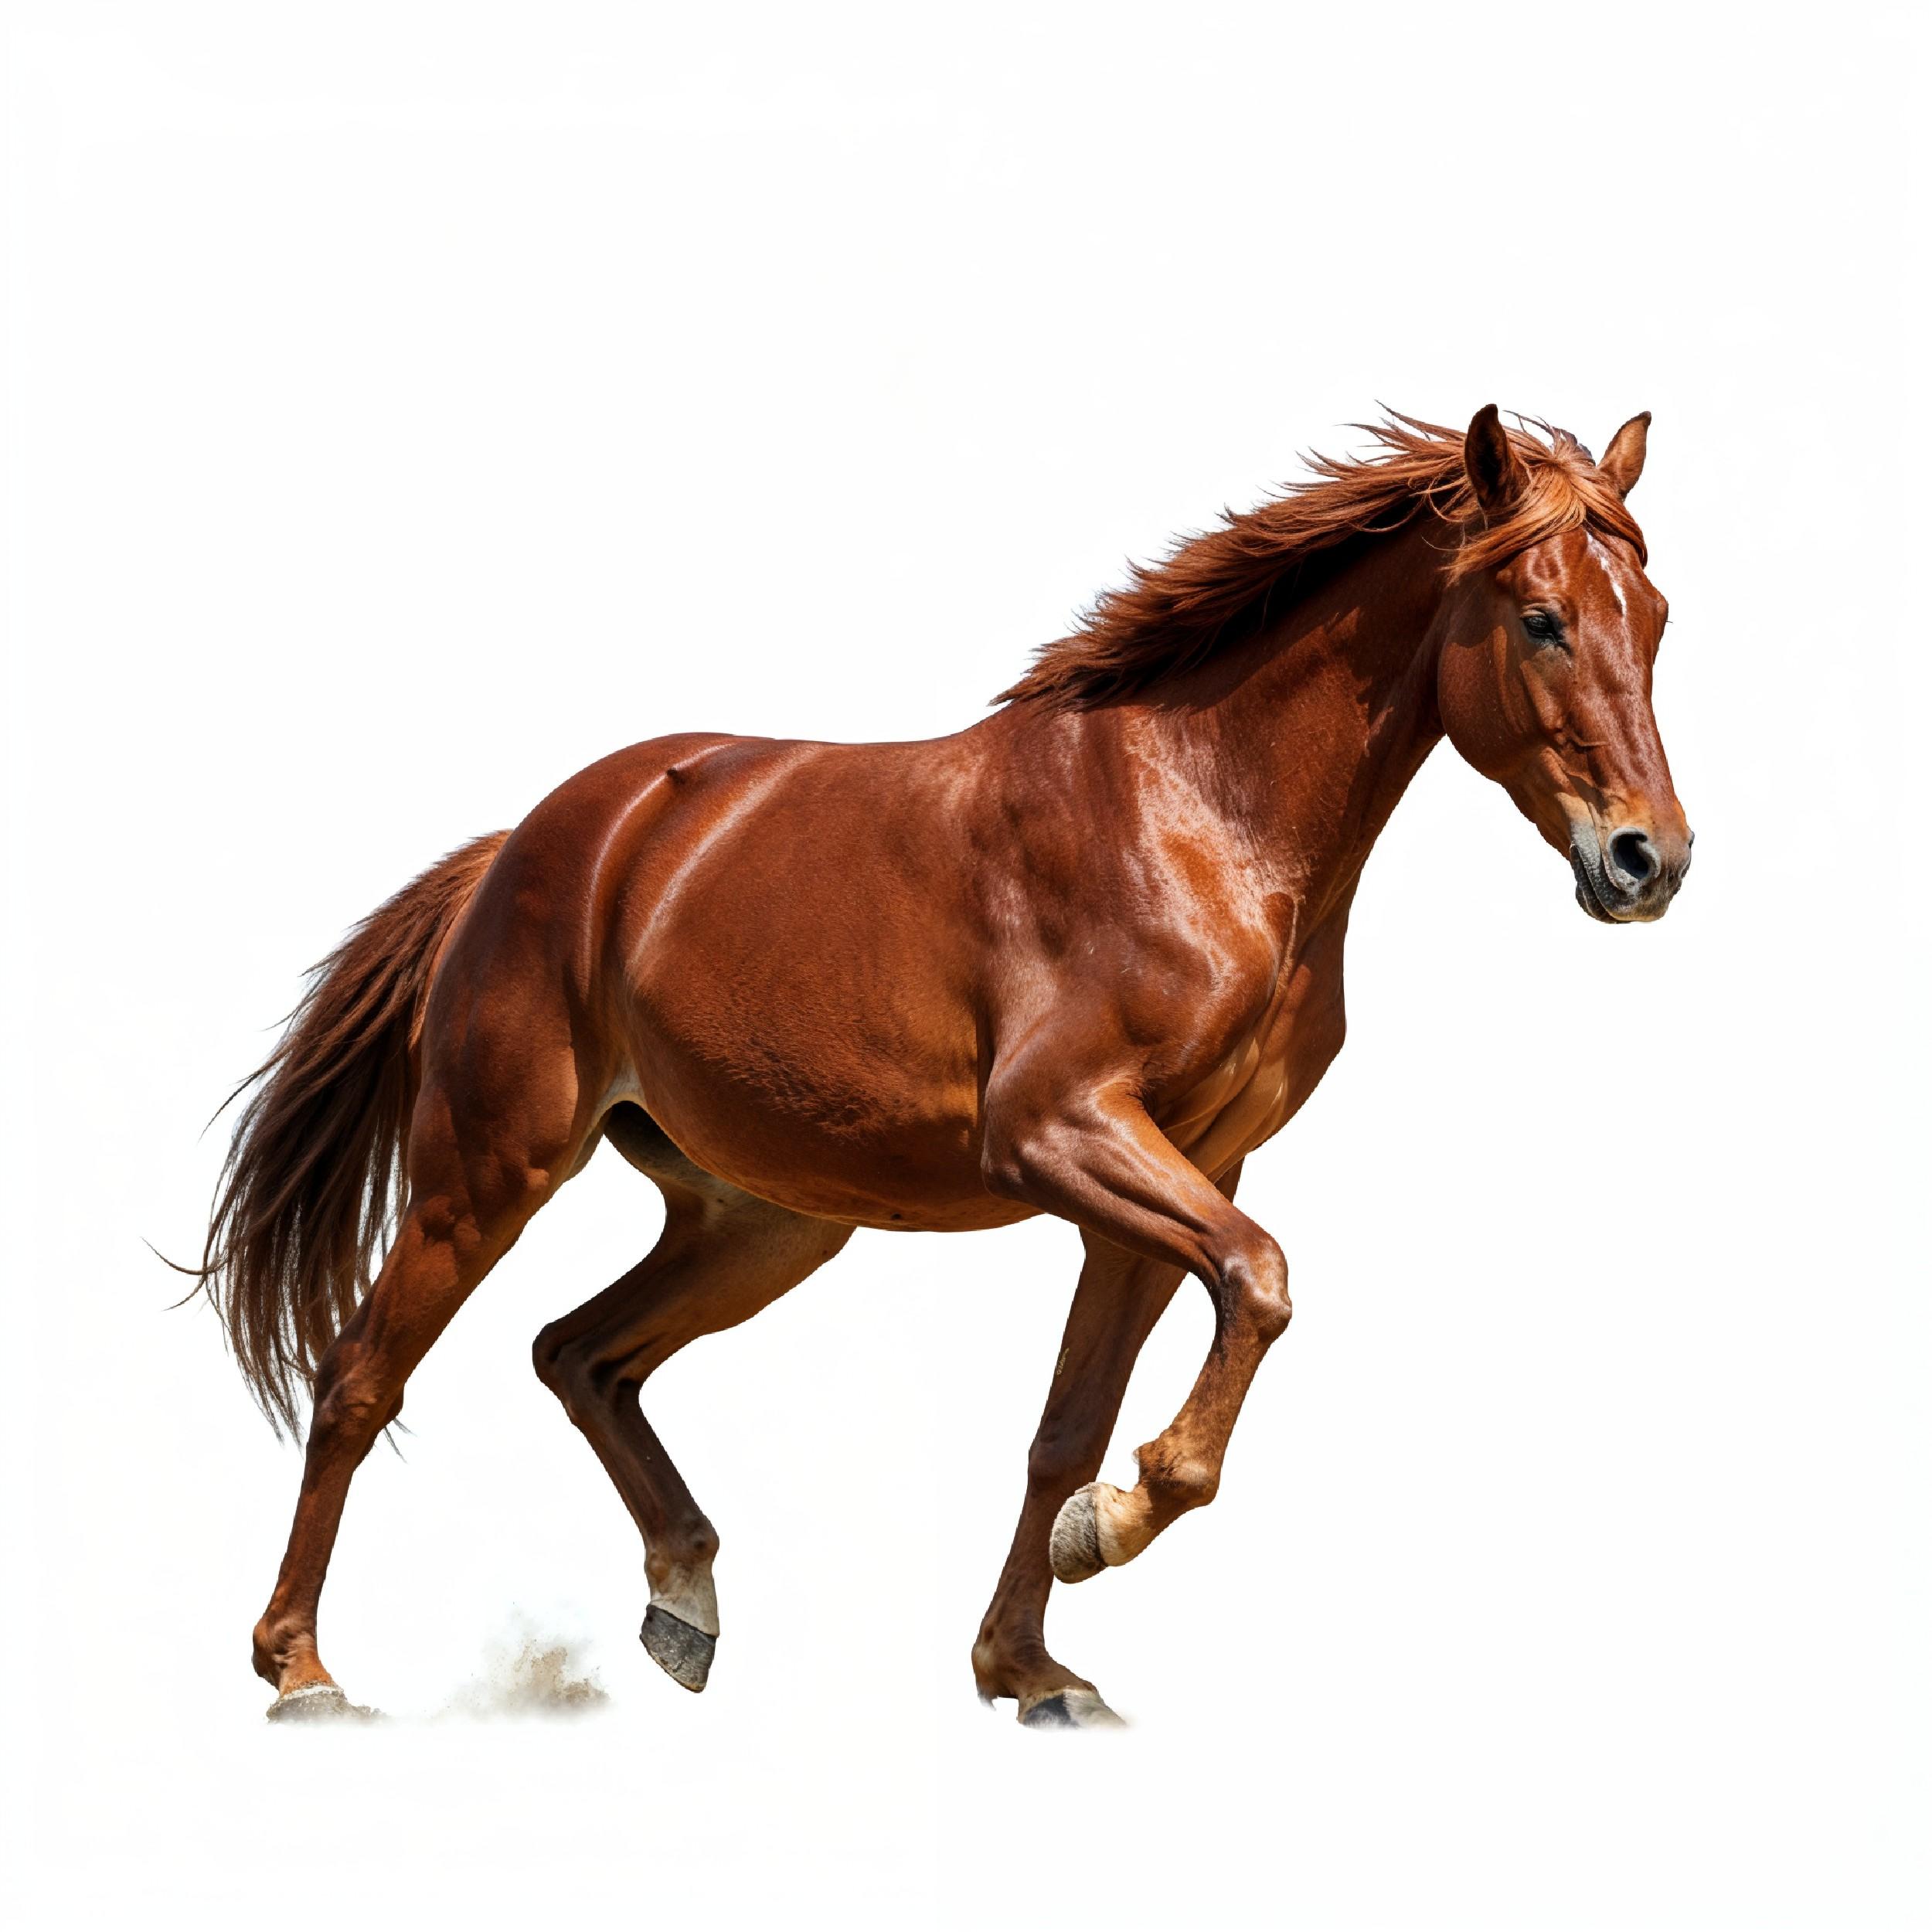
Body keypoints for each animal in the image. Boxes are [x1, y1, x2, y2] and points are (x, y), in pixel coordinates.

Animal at [194, 405, 1691, 1728]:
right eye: (1541, 617)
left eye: (1658, 619)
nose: (1648, 860)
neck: (1198, 815)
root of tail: (524, 846)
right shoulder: (1056, 1132)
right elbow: (1260, 1283)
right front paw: (1120, 1522)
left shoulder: (1181, 1171)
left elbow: (1070, 1424)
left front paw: (1033, 1663)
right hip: (487, 1172)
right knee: (361, 1376)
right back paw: (304, 1672)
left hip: (765, 1221)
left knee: (579, 1354)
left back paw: (684, 1606)